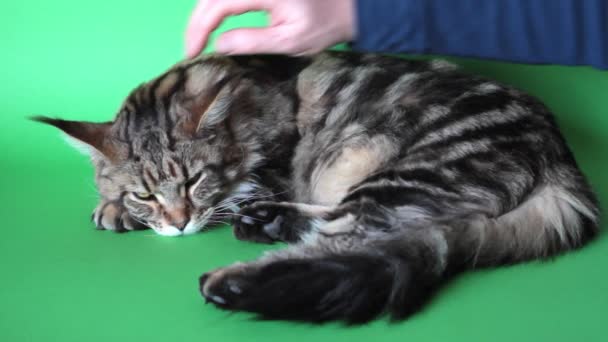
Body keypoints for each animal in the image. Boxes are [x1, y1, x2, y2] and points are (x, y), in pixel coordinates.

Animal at [35, 51, 600, 324]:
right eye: (146, 193)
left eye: (195, 181)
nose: (177, 225)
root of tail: (560, 152)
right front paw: (116, 207)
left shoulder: (270, 168)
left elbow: (235, 194)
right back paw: (266, 224)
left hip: (398, 174)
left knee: (348, 241)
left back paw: (234, 278)